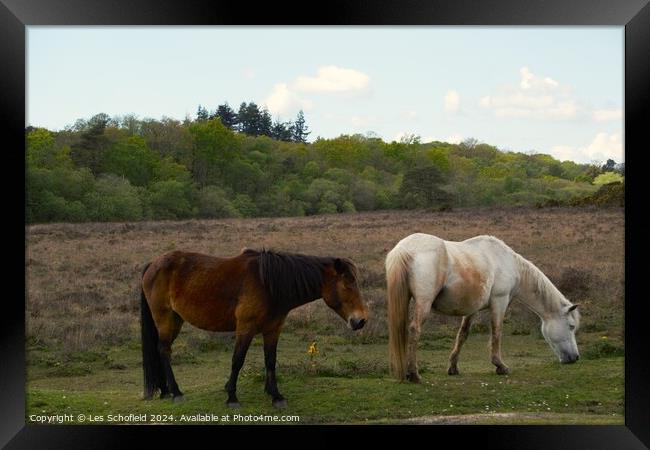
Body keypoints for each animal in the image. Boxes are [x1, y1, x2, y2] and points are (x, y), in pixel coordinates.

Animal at [140, 248, 368, 410]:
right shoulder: (245, 329)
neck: (268, 284)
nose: (361, 321)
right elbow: (237, 360)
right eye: (347, 284)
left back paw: (166, 391)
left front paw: (275, 395)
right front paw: (232, 397)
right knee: (164, 350)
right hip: (165, 318)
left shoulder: (273, 330)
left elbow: (270, 361)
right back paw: (176, 392)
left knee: (162, 350)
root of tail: (153, 264)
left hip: (176, 320)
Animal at [388, 234, 580, 382]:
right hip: (424, 303)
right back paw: (414, 374)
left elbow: (462, 335)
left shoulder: (471, 310)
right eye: (571, 326)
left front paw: (453, 367)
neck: (507, 262)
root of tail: (403, 249)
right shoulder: (499, 302)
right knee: (415, 330)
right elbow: (497, 332)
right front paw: (500, 366)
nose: (575, 358)